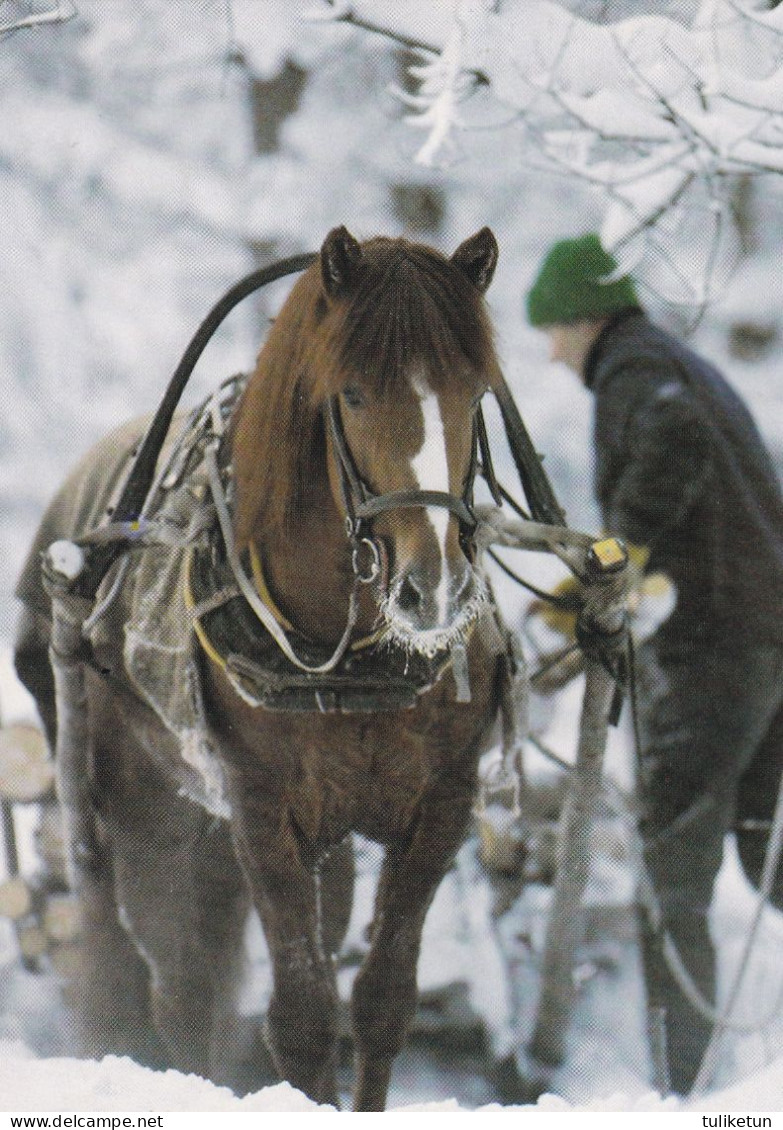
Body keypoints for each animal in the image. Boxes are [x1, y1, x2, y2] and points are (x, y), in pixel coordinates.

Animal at [15, 224, 510, 1107]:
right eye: (353, 394)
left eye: (473, 390)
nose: (434, 590)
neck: (348, 661)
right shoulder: (259, 810)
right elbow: (301, 1017)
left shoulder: (442, 803)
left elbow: (381, 1000)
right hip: (152, 821)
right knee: (173, 988)